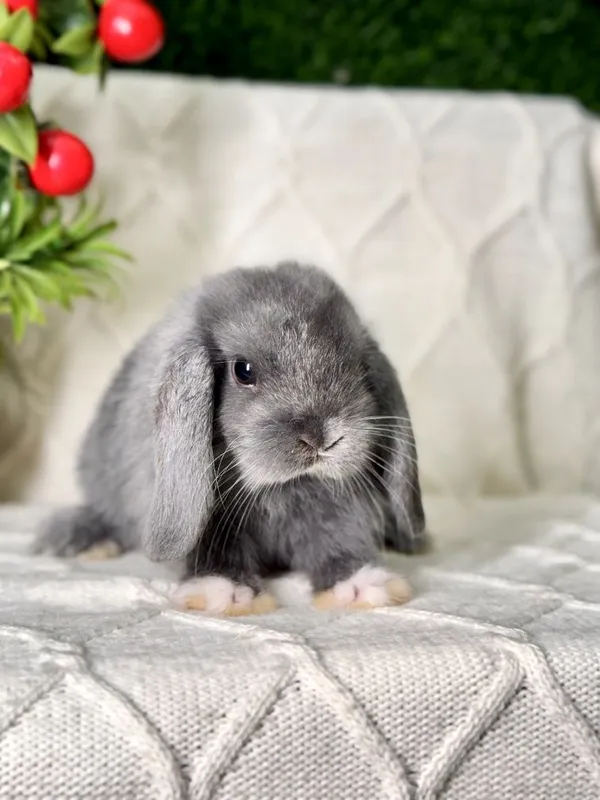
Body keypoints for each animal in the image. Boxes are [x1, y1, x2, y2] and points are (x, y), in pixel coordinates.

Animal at [34, 262, 427, 614]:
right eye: (243, 371)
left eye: (356, 366)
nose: (321, 438)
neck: (279, 489)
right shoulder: (207, 519)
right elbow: (211, 553)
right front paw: (227, 593)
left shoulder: (337, 508)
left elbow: (339, 543)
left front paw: (361, 586)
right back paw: (83, 541)